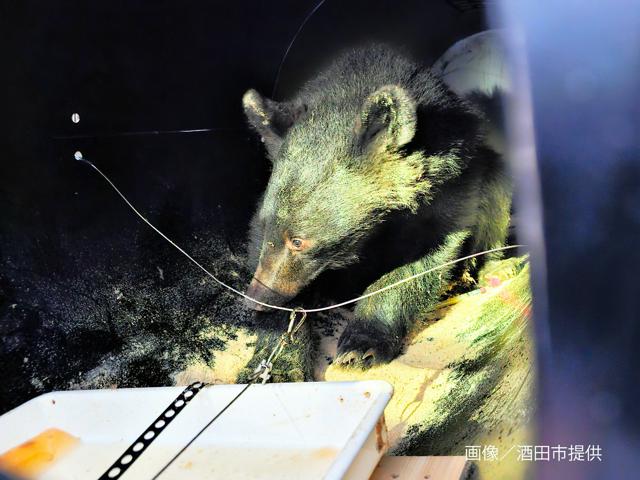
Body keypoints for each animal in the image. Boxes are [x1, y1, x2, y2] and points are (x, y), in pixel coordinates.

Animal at [241, 44, 511, 368]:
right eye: (267, 226)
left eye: (298, 241)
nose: (256, 299)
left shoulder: (450, 191)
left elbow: (422, 259)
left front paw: (361, 345)